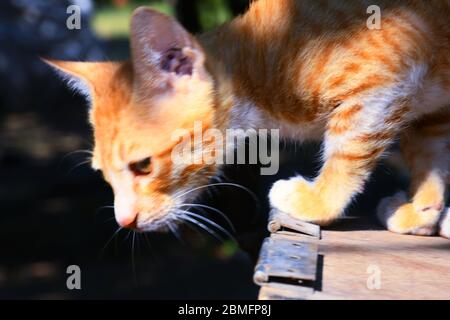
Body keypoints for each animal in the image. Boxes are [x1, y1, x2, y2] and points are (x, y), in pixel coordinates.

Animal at [46, 0, 450, 238]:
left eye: (143, 166)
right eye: (104, 175)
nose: (123, 221)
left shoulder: (386, 76)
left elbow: (349, 148)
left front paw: (319, 202)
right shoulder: (432, 110)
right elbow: (429, 155)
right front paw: (424, 210)